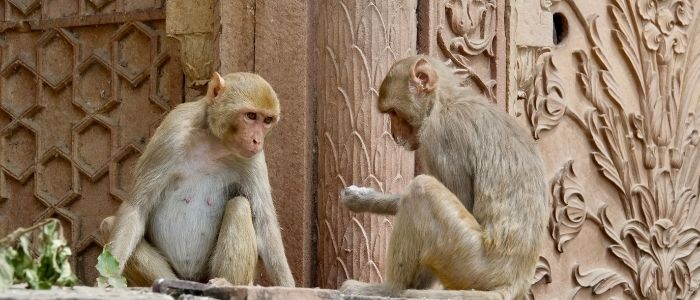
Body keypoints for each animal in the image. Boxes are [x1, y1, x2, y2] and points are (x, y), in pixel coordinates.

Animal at [100, 71, 294, 288]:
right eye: (251, 116)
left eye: (267, 120)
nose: (257, 140)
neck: (213, 141)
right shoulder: (172, 133)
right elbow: (137, 208)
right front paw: (106, 279)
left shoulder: (253, 158)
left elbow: (265, 223)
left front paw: (288, 286)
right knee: (108, 224)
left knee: (240, 205)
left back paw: (225, 283)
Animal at [340, 55, 548, 298]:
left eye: (393, 113)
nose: (393, 133)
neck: (444, 101)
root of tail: (514, 281)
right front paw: (362, 198)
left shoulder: (441, 137)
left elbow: (460, 200)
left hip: (470, 262)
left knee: (422, 189)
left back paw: (389, 289)